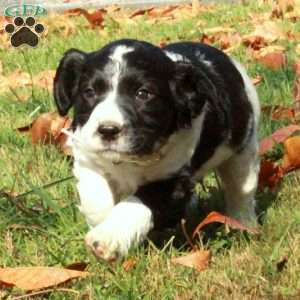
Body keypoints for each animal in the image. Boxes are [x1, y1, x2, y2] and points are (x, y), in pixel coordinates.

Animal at [54, 39, 260, 260]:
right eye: (89, 92)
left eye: (143, 94)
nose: (108, 130)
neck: (132, 160)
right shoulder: (89, 159)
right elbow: (95, 198)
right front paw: (101, 222)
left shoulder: (171, 177)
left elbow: (135, 205)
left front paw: (108, 237)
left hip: (244, 148)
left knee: (241, 189)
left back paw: (243, 224)